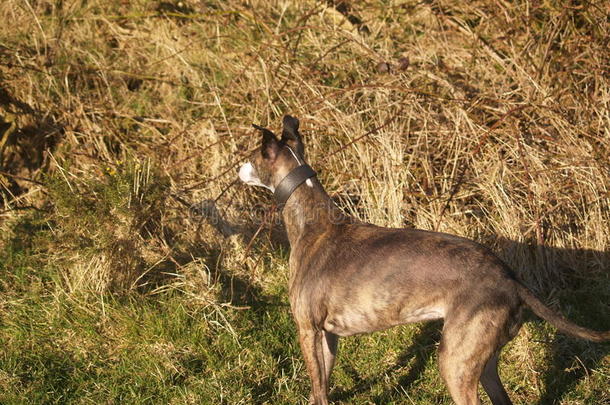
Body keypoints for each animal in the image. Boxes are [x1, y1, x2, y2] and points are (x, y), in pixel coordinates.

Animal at [238, 115, 608, 404]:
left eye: (252, 156)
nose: (238, 167)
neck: (313, 221)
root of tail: (511, 280)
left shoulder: (308, 330)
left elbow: (317, 387)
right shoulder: (328, 335)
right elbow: (323, 389)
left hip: (455, 362)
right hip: (483, 360)